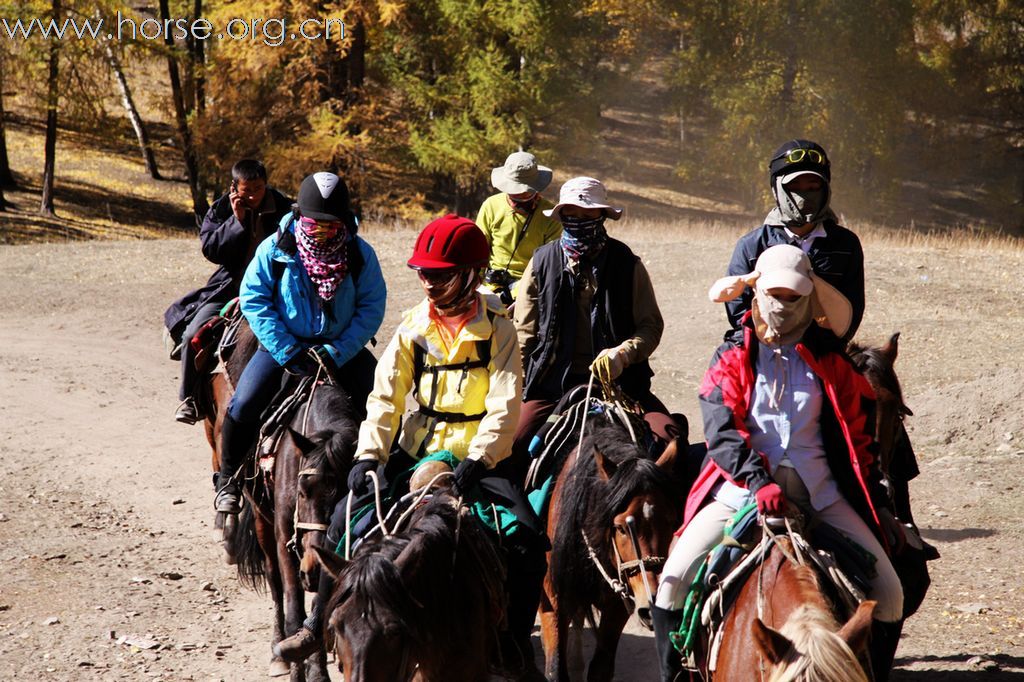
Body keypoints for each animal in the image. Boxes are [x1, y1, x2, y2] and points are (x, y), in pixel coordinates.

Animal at [540, 417, 684, 675]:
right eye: (620, 527)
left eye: (670, 521)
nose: (651, 604)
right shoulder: (553, 595)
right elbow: (555, 666)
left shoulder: (618, 605)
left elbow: (601, 667)